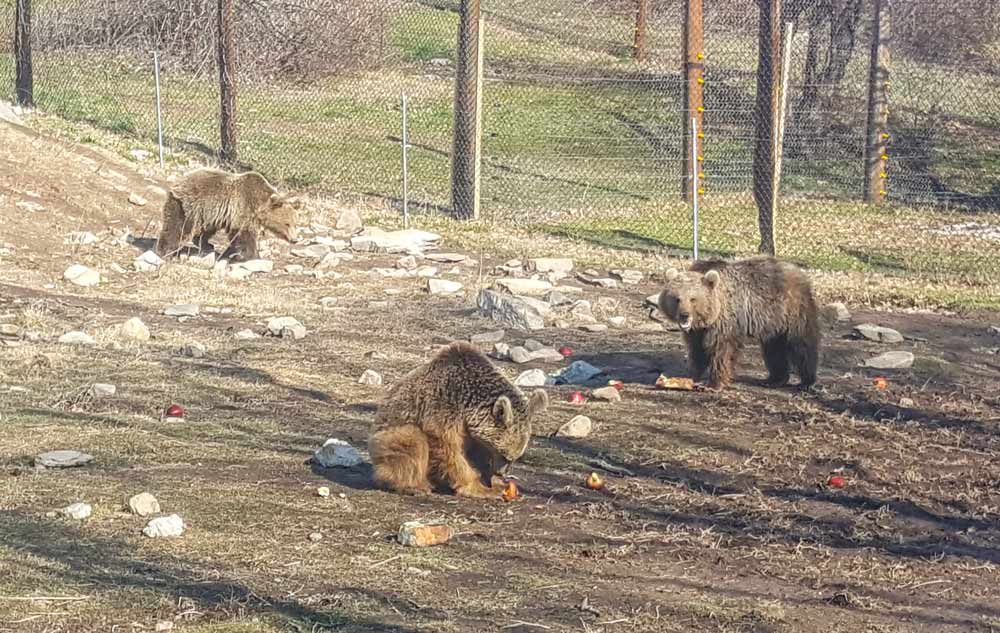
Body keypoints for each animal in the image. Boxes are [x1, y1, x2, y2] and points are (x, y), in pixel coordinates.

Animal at [152, 167, 300, 260]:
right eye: (287, 223)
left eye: (295, 224)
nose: (295, 239)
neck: (259, 204)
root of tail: (177, 182)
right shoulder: (243, 207)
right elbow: (244, 234)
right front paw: (251, 255)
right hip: (187, 206)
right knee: (177, 226)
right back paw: (165, 251)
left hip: (207, 212)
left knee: (206, 229)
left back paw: (206, 244)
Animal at [372, 340, 552, 498]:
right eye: (504, 455)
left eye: (515, 458)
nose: (501, 473)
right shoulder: (443, 410)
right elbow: (450, 450)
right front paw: (478, 488)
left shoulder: (473, 432)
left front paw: (494, 483)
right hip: (391, 432)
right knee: (412, 443)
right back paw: (414, 486)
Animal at [656, 256, 820, 390]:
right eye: (677, 298)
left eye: (693, 299)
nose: (684, 315)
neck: (707, 318)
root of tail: (796, 269)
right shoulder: (697, 331)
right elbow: (696, 350)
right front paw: (691, 375)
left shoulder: (725, 322)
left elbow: (722, 350)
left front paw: (713, 384)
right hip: (773, 323)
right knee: (774, 348)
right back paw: (775, 379)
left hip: (793, 311)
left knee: (801, 344)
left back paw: (807, 381)